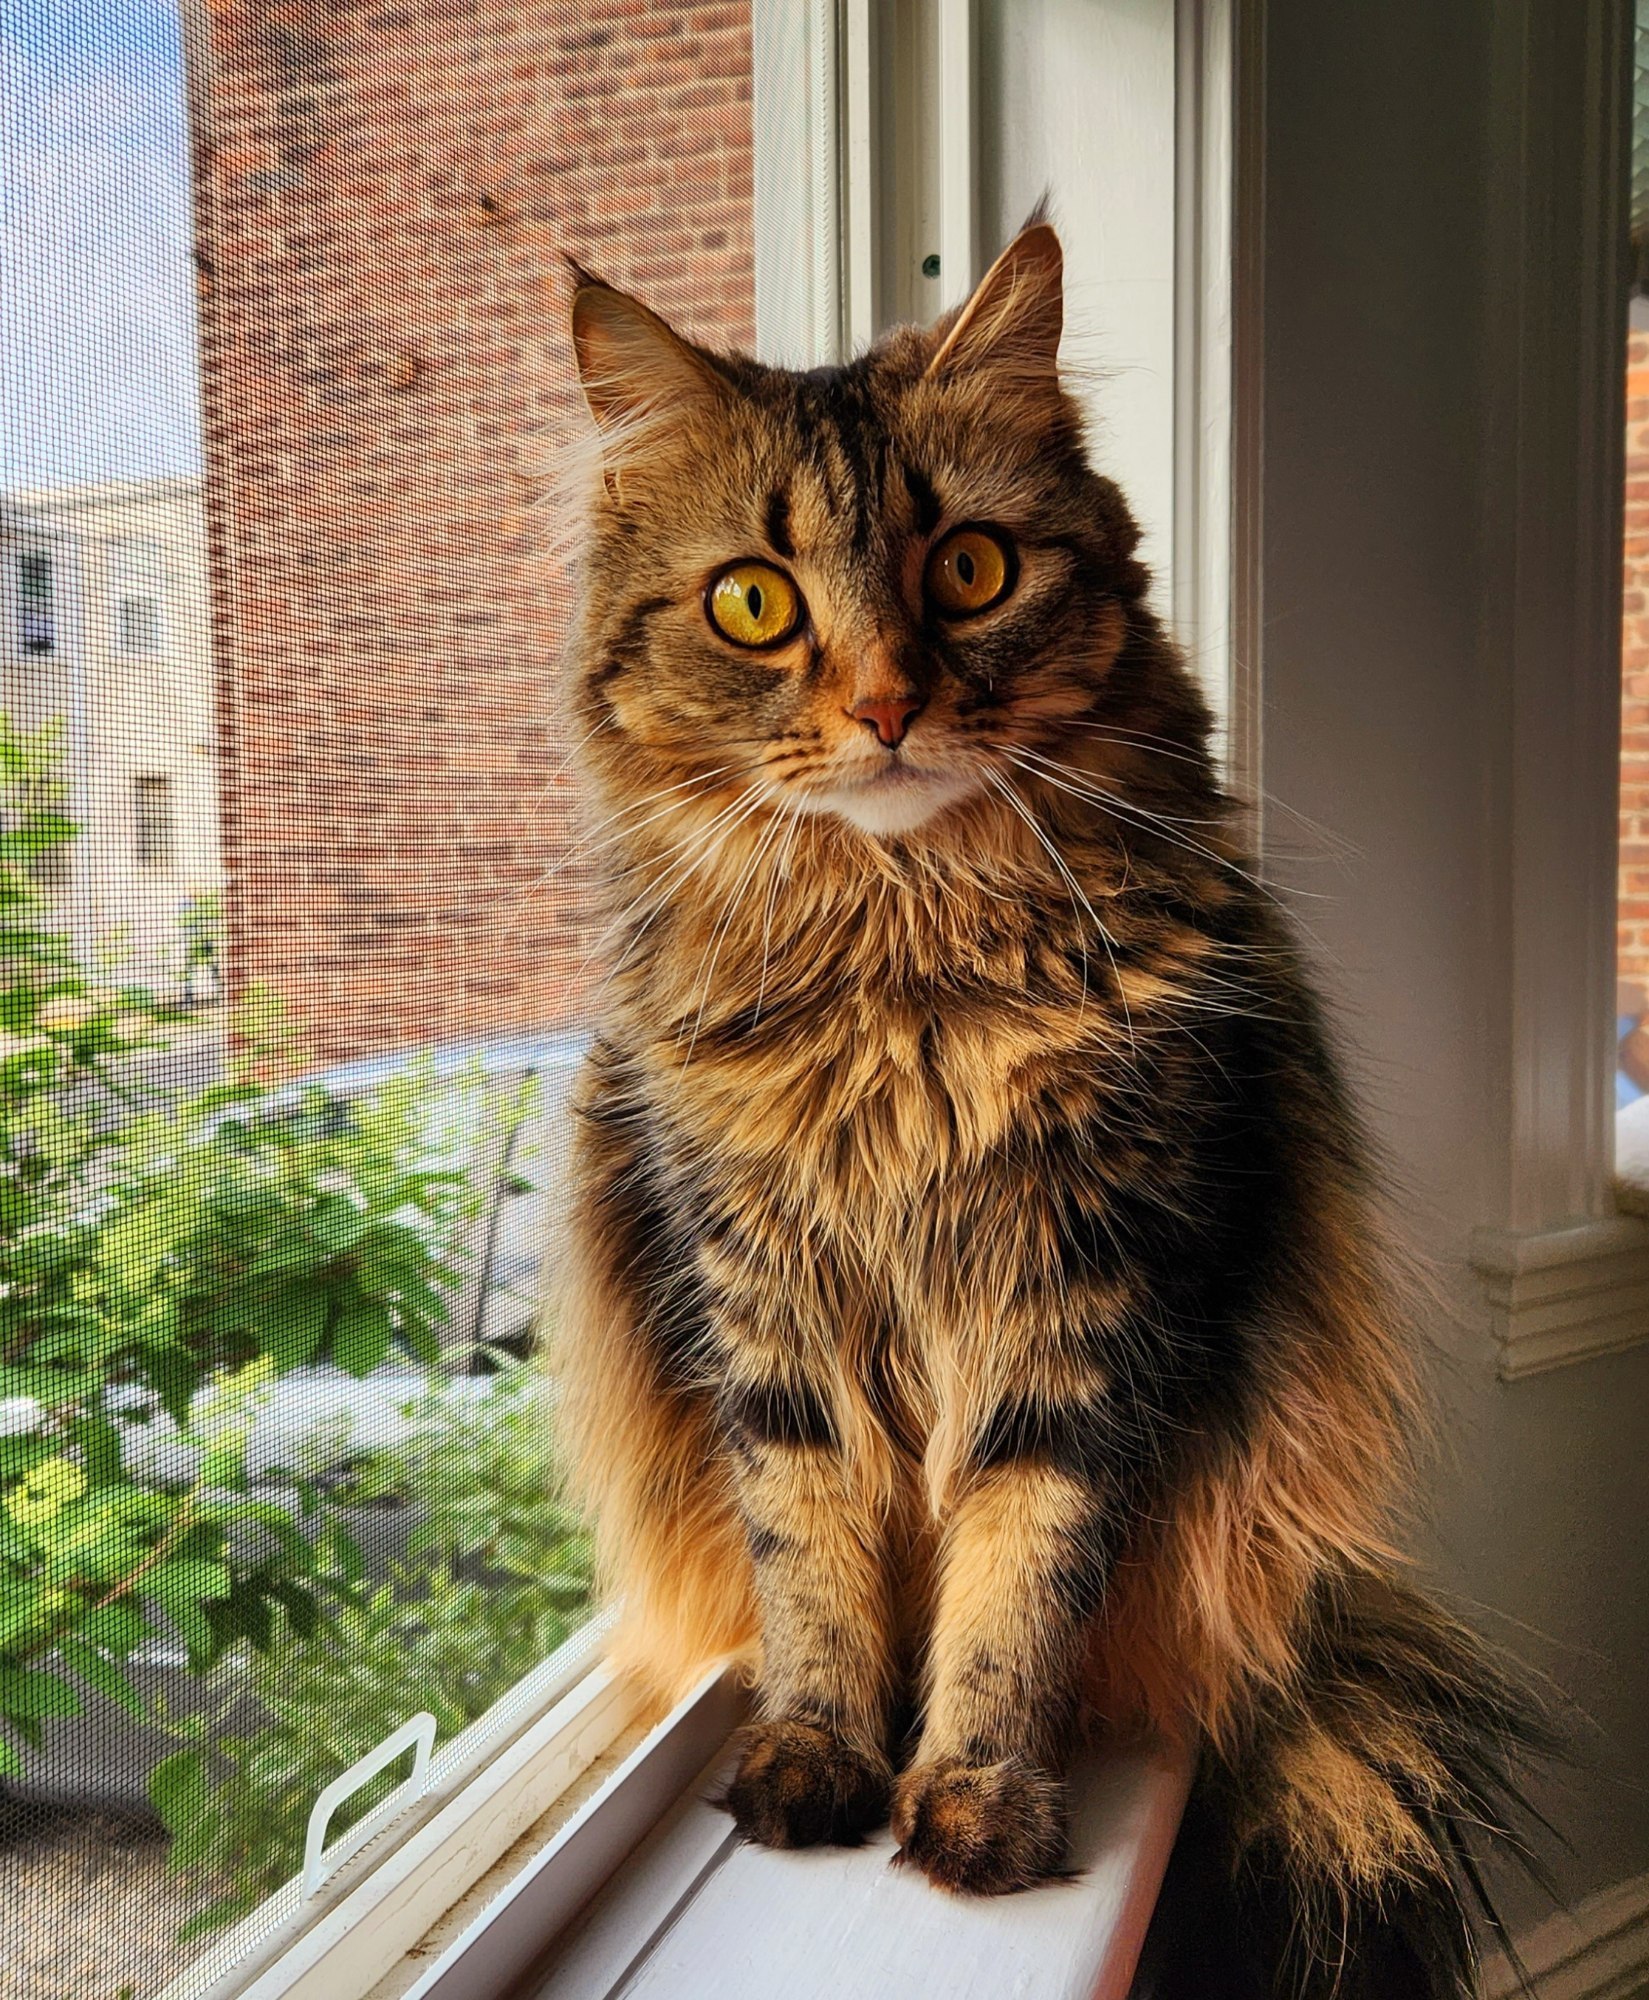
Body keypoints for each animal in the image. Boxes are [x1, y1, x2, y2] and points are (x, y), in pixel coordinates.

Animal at [549, 220, 1550, 1999]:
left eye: (969, 571)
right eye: (754, 604)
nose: (884, 706)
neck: (904, 975)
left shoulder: (1088, 1296)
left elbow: (1019, 1577)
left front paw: (975, 1799)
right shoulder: (766, 1302)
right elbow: (810, 1560)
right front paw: (821, 1759)